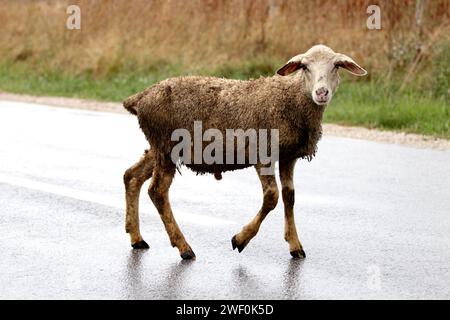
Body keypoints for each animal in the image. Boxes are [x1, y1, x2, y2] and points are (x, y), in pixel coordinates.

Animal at [122, 45, 366, 260]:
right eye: (305, 66)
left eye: (336, 65)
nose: (321, 92)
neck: (291, 98)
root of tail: (141, 97)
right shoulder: (263, 152)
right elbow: (272, 198)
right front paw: (240, 239)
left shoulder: (288, 156)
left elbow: (290, 197)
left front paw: (295, 245)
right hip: (167, 146)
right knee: (157, 191)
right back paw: (184, 247)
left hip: (158, 147)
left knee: (132, 176)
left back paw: (137, 238)